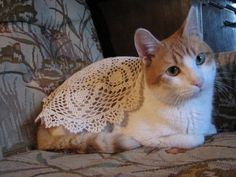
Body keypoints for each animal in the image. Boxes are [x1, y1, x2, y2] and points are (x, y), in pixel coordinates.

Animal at [36, 6, 217, 153]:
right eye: (173, 71)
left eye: (200, 59)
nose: (198, 81)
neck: (192, 105)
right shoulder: (146, 137)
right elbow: (192, 139)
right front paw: (198, 135)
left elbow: (208, 129)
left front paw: (209, 127)